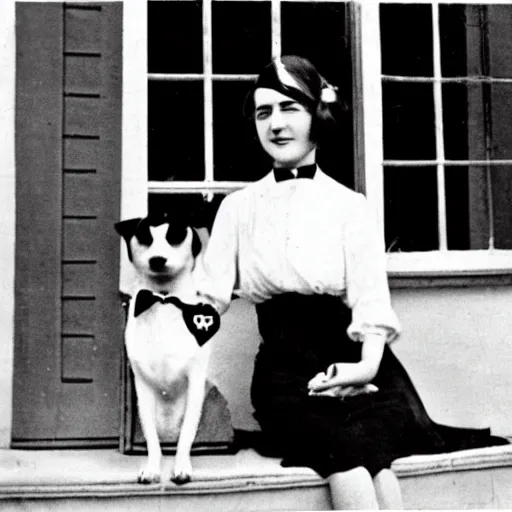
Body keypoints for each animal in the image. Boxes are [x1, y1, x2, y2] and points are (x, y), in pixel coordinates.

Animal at [115, 212, 219, 484]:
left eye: (176, 235)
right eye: (143, 236)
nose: (157, 259)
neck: (163, 298)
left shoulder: (195, 383)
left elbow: (186, 436)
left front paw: (181, 467)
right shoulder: (142, 388)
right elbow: (153, 441)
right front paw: (152, 468)